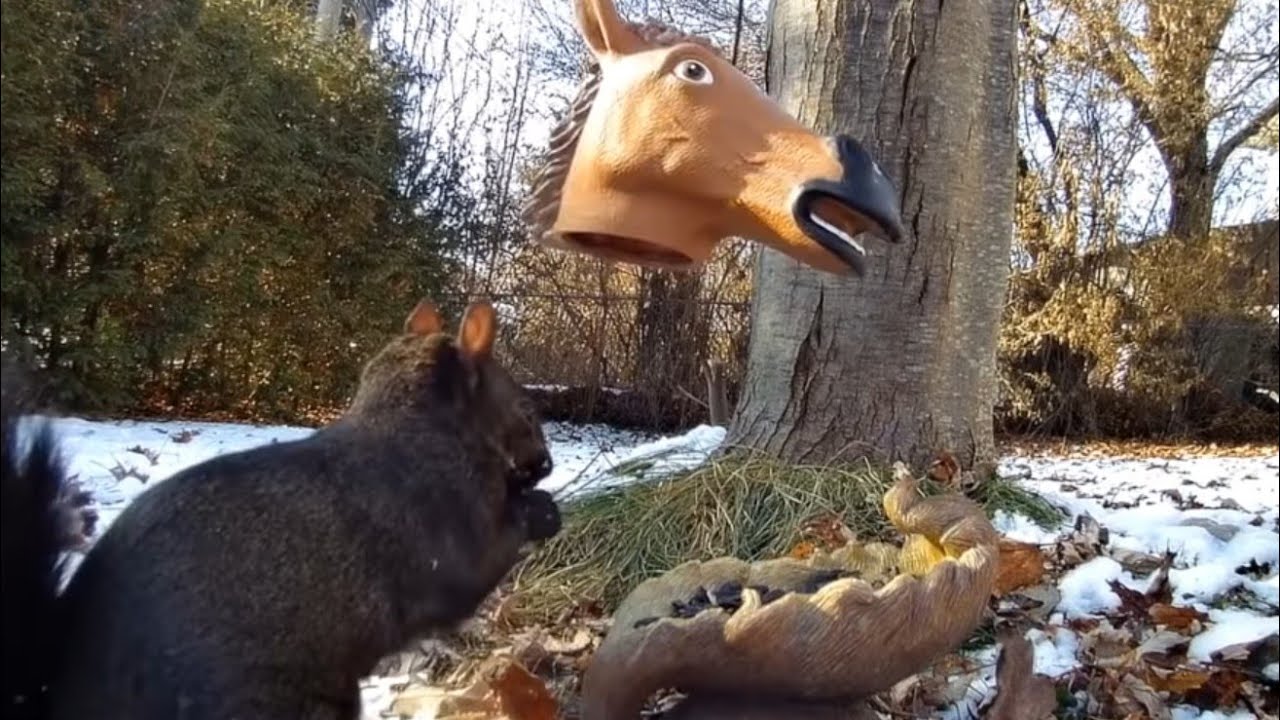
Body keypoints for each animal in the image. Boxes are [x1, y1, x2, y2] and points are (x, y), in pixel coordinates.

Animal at [1, 299, 562, 720]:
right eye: (527, 411)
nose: (548, 463)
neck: (423, 428)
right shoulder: (445, 522)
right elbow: (478, 565)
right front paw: (543, 509)